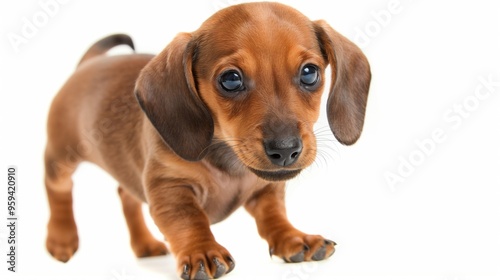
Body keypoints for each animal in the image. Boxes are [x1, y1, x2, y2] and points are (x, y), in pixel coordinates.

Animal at [44, 1, 372, 278]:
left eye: (309, 73)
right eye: (231, 79)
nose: (285, 150)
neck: (228, 162)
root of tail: (86, 65)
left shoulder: (265, 189)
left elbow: (274, 215)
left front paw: (293, 238)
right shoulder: (170, 189)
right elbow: (189, 220)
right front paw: (201, 250)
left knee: (126, 194)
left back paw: (144, 244)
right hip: (62, 154)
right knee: (58, 188)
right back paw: (61, 238)